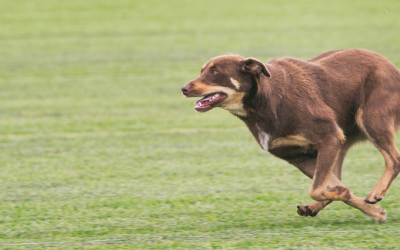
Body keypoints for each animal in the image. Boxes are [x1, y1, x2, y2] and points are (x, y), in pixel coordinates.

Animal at [180, 49, 400, 223]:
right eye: (202, 70)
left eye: (214, 72)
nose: (183, 88)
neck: (263, 101)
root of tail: (393, 68)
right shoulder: (299, 156)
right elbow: (328, 186)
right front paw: (374, 211)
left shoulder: (328, 137)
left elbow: (316, 188)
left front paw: (368, 205)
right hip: (342, 142)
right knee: (339, 179)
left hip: (371, 119)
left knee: (394, 159)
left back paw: (376, 192)